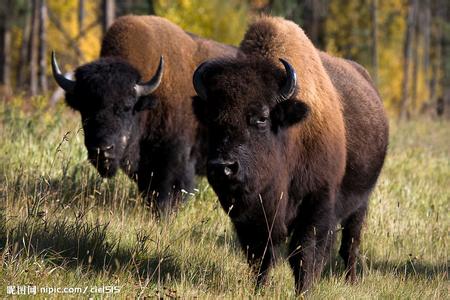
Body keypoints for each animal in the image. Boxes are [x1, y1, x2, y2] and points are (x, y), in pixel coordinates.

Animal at [192, 15, 388, 292]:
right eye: (211, 119)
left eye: (261, 118)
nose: (223, 166)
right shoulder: (252, 214)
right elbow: (260, 254)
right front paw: (259, 289)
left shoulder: (317, 202)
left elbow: (304, 251)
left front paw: (304, 290)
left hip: (361, 202)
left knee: (351, 243)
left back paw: (351, 281)